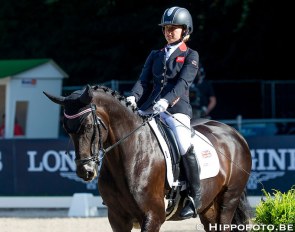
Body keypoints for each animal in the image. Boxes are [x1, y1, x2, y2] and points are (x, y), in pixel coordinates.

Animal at [44, 85, 252, 232]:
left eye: (88, 126)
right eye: (67, 129)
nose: (85, 171)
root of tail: (234, 133)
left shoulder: (153, 217)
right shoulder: (117, 219)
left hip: (228, 201)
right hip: (209, 208)